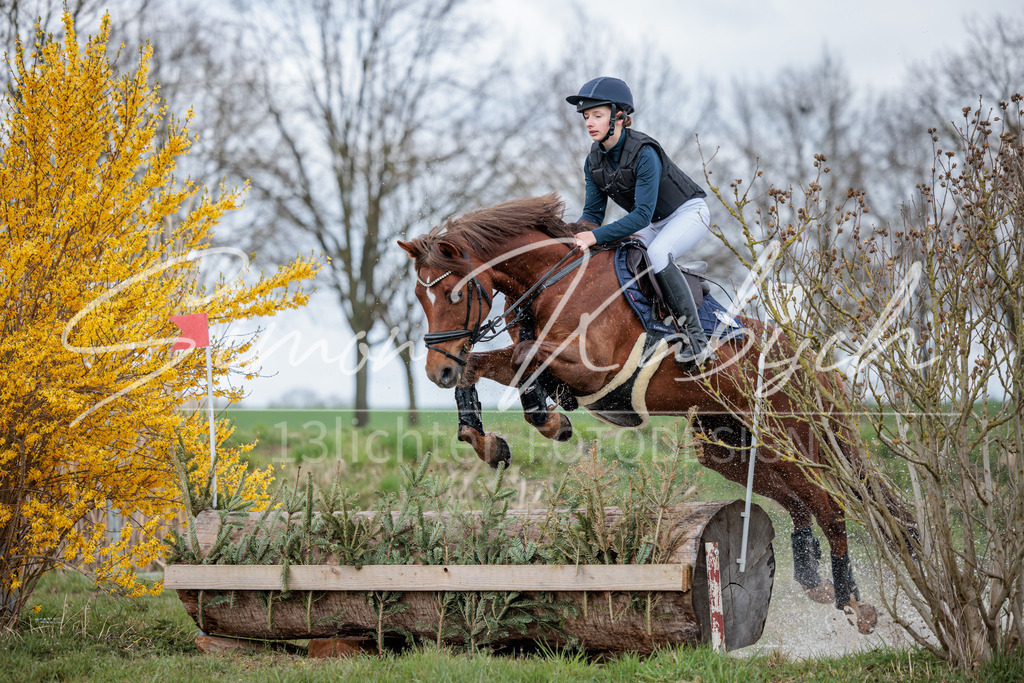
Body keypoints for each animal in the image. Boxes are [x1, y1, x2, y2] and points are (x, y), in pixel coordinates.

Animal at [398, 193, 887, 633]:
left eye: (452, 293)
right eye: (420, 297)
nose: (437, 371)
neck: (553, 282)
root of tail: (815, 364)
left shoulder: (595, 369)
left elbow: (522, 356)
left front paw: (549, 420)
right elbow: (486, 367)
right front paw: (489, 442)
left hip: (793, 439)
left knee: (832, 507)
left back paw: (854, 603)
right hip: (730, 447)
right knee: (800, 503)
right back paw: (816, 582)